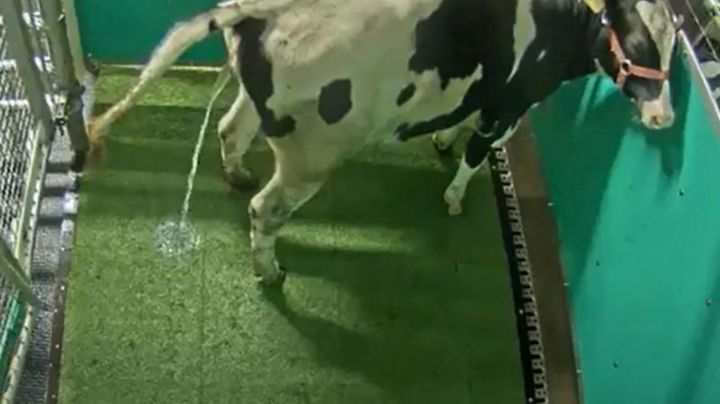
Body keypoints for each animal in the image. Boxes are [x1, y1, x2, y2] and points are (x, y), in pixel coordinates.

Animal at [87, 0, 681, 287]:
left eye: (673, 44)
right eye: (634, 41)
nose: (664, 116)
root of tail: (260, 9)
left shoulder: (486, 93)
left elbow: (460, 126)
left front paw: (443, 137)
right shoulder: (514, 102)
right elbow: (476, 153)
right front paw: (455, 196)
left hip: (258, 106)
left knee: (231, 131)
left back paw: (236, 176)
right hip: (312, 154)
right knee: (267, 209)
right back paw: (271, 272)